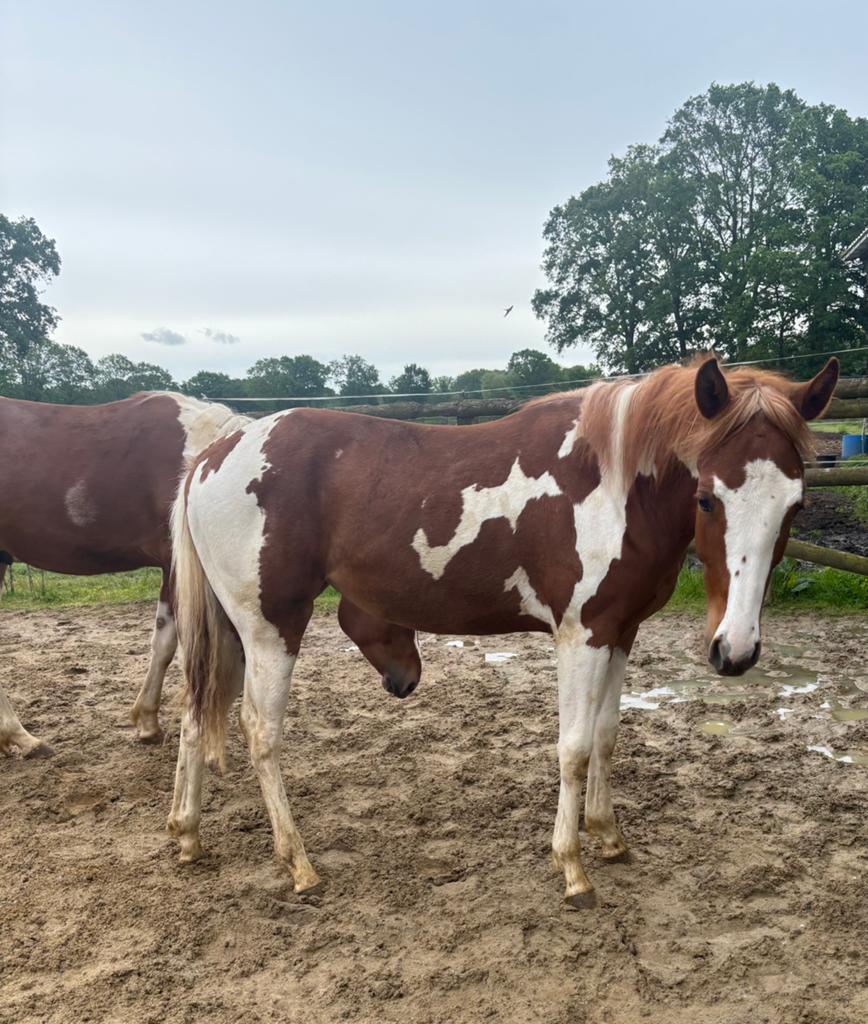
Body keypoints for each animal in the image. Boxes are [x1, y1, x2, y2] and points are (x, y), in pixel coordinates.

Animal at [167, 356, 838, 907]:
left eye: (797, 505)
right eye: (707, 498)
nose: (736, 651)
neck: (616, 485)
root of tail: (211, 457)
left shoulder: (618, 632)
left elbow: (607, 736)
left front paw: (608, 836)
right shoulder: (580, 635)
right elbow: (573, 748)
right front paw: (573, 870)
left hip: (232, 629)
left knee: (198, 711)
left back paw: (188, 834)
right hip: (271, 626)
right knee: (259, 731)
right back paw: (299, 863)